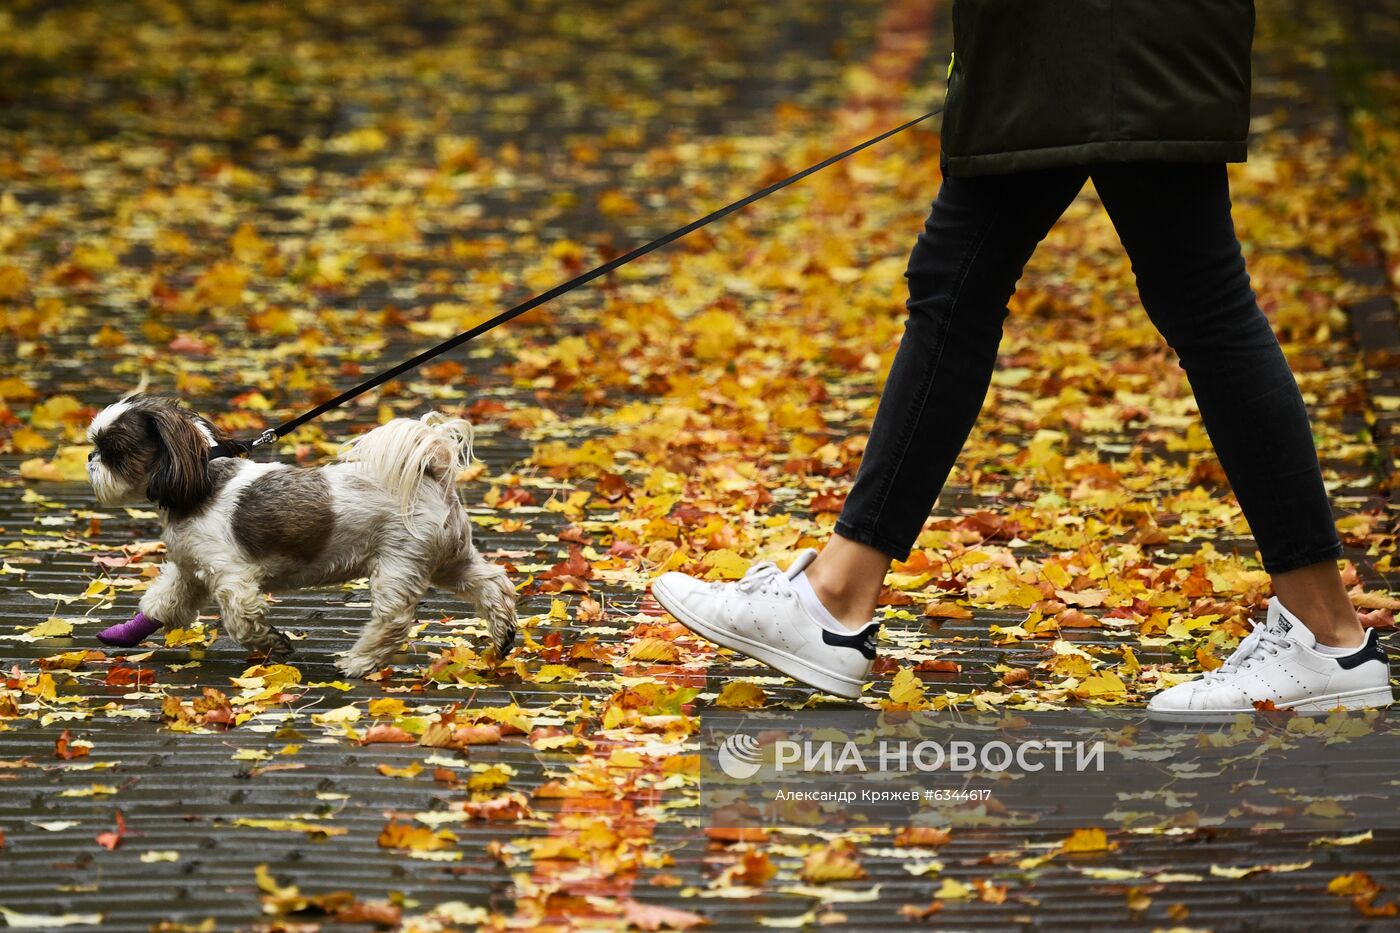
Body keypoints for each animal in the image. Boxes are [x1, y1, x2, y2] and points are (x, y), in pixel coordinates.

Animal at [84, 395, 518, 675]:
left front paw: (273, 644)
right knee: (492, 584)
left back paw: (359, 662)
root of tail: (434, 472)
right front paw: (124, 634)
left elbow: (242, 621)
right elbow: (162, 604)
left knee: (393, 620)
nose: (90, 458)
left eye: (114, 450)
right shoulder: (191, 570)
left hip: (400, 562)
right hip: (450, 559)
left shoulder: (231, 577)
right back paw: (503, 637)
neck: (199, 484)